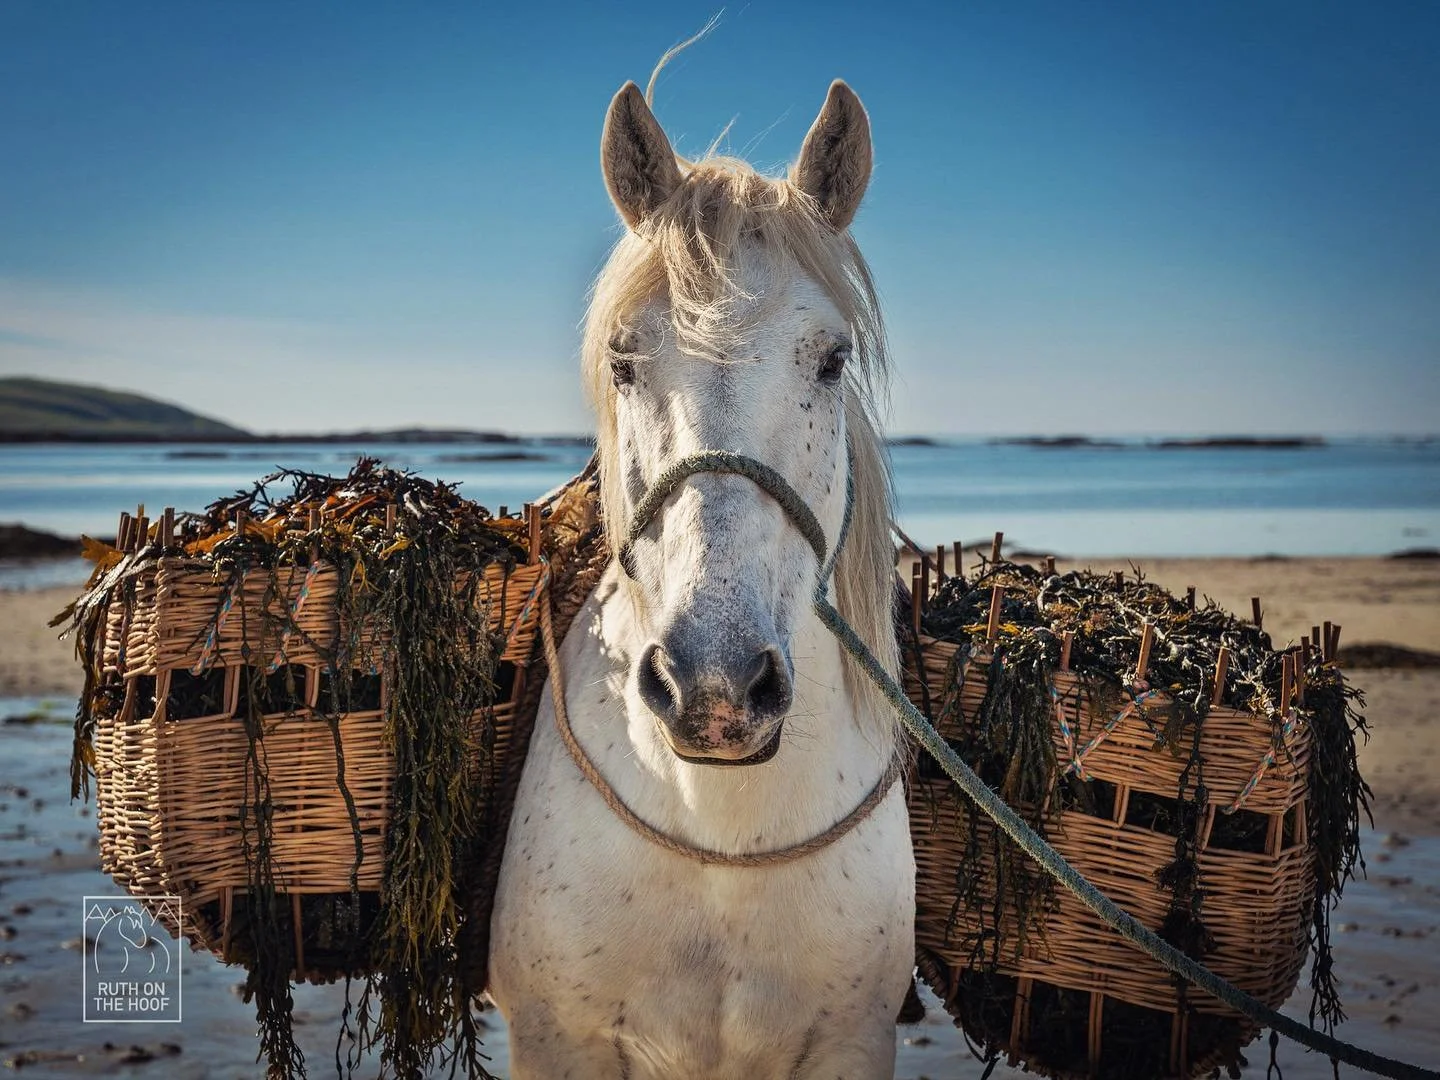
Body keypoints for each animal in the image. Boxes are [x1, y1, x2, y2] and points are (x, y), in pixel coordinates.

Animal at [489, 75, 914, 1079]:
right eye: (622, 360)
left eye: (831, 359)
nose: (712, 688)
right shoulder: (556, 1039)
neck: (723, 834)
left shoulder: (853, 1038)